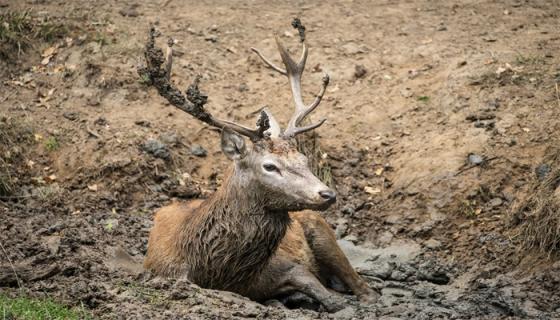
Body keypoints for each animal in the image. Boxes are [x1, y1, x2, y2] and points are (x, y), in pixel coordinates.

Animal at [139, 20, 380, 312]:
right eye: (269, 166)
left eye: (304, 159)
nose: (327, 194)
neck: (219, 273)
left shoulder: (287, 264)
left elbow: (329, 297)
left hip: (321, 231)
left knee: (358, 283)